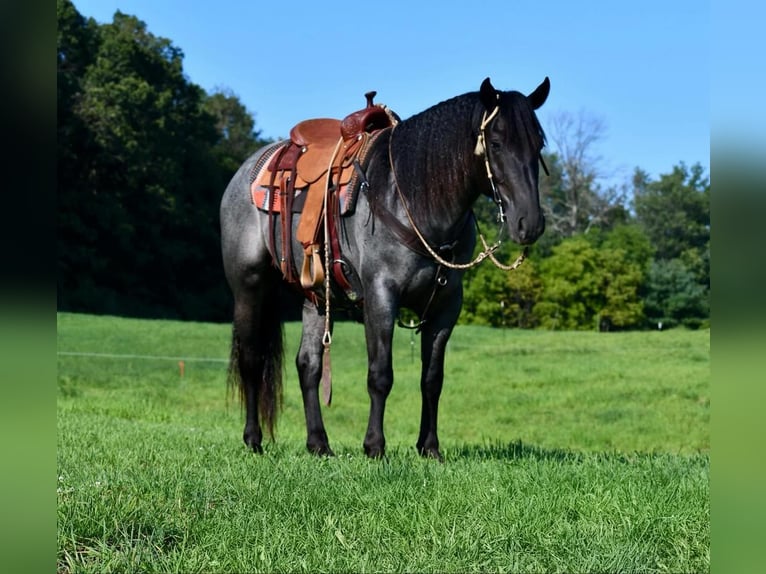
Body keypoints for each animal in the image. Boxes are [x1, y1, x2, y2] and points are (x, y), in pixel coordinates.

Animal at [222, 76, 552, 464]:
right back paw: (253, 439)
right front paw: (375, 446)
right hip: (250, 286)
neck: (412, 197)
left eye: (538, 143)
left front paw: (429, 447)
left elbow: (432, 378)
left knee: (309, 365)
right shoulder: (381, 297)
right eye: (497, 143)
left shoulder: (446, 307)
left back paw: (319, 443)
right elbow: (380, 375)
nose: (529, 223)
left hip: (315, 298)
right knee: (251, 359)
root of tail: (248, 170)